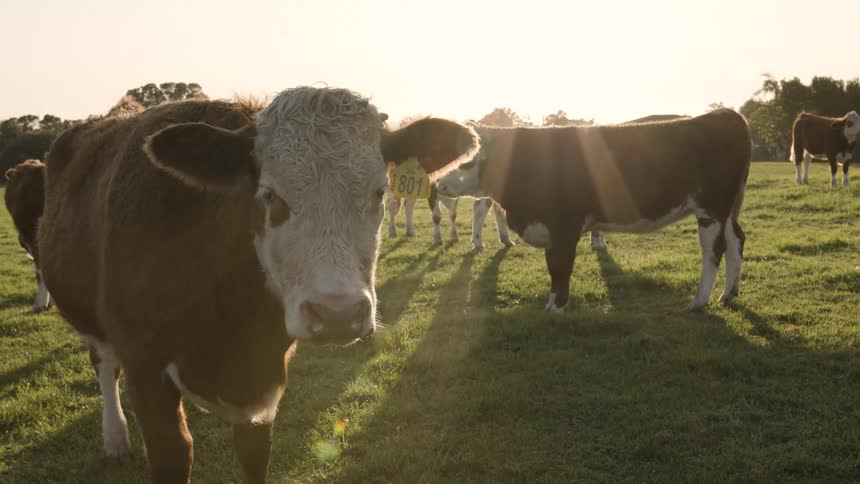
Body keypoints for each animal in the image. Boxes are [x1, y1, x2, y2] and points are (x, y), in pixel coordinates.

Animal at [38, 87, 479, 483]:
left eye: (379, 192)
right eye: (269, 196)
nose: (338, 314)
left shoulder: (263, 386)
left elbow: (254, 454)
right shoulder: (145, 365)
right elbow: (174, 452)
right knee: (103, 363)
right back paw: (114, 438)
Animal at [435, 109, 751, 313]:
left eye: (466, 160)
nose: (437, 182)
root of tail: (725, 114)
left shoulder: (564, 226)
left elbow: (560, 266)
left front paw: (557, 307)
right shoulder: (551, 229)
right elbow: (553, 266)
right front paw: (553, 303)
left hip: (711, 208)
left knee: (714, 251)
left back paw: (698, 301)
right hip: (728, 209)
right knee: (736, 239)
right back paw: (728, 293)